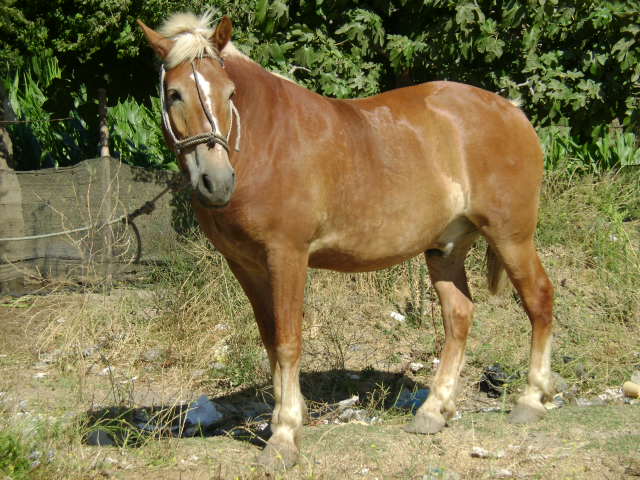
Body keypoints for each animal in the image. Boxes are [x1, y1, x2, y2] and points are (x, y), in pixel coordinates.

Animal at [136, 10, 556, 468]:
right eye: (174, 94)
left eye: (230, 93)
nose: (216, 181)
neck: (265, 142)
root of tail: (512, 111)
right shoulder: (246, 264)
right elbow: (269, 340)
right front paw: (284, 420)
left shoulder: (287, 256)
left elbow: (288, 342)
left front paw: (284, 436)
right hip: (445, 249)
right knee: (459, 315)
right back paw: (433, 411)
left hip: (512, 236)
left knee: (539, 299)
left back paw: (531, 400)